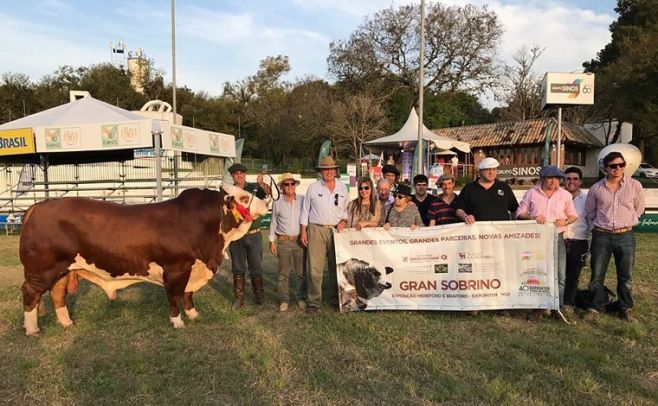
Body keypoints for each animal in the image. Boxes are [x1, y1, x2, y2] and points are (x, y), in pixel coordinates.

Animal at [19, 186, 268, 334]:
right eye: (245, 197)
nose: (266, 203)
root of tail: (37, 206)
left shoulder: (193, 269)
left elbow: (188, 295)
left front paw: (194, 315)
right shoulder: (176, 269)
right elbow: (175, 297)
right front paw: (178, 322)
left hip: (63, 270)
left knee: (57, 294)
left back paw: (67, 323)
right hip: (41, 270)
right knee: (30, 294)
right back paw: (32, 330)